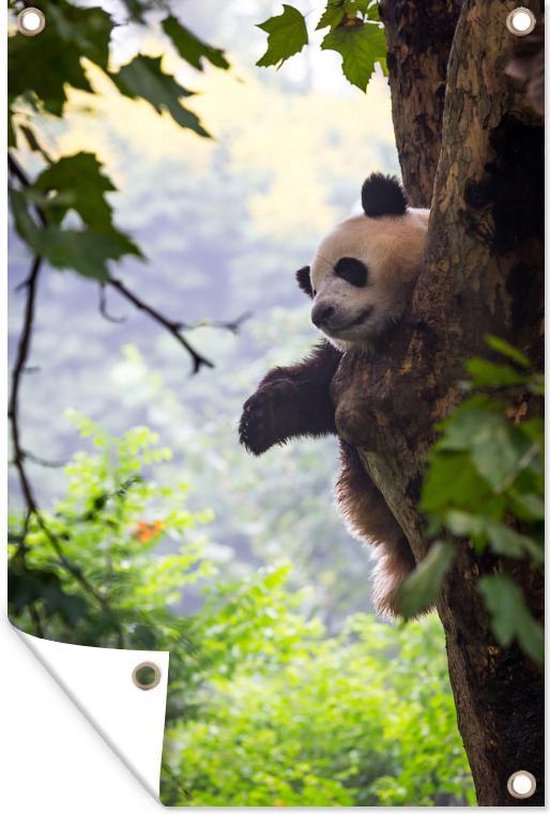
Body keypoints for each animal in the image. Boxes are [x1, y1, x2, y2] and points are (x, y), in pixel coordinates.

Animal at [239, 173, 430, 617]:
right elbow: (319, 392)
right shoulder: (348, 370)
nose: (321, 314)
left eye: (348, 268)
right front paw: (260, 417)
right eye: (312, 289)